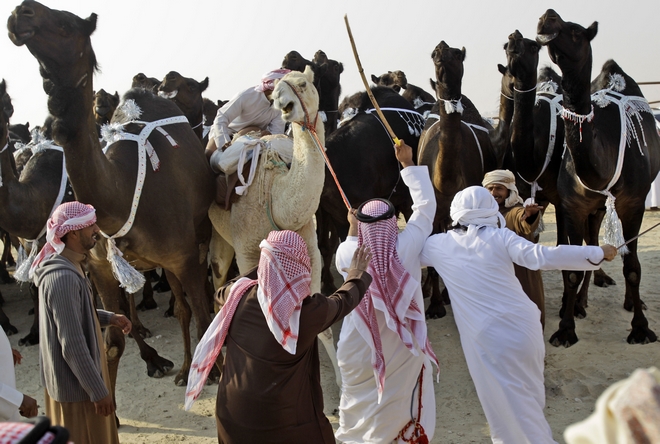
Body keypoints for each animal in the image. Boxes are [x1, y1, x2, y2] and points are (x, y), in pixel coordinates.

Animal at [8, 0, 217, 398]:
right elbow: (111, 342)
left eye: (66, 24)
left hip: (195, 243)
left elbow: (203, 317)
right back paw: (182, 367)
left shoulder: (184, 256)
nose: (20, 13)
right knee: (181, 308)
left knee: (198, 308)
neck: (120, 197)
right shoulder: (102, 269)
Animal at [208, 67, 342, 384]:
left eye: (302, 83)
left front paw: (343, 386)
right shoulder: (246, 252)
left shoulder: (311, 251)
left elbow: (324, 327)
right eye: (276, 88)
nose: (283, 104)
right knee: (216, 279)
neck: (275, 195)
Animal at [418, 41, 506, 318]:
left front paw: (448, 297)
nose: (442, 50)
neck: (445, 181)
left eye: (458, 55)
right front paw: (435, 306)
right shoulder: (434, 211)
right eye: (434, 55)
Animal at [540, 8, 656, 346]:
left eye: (576, 32)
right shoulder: (573, 205)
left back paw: (631, 302)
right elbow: (572, 268)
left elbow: (632, 266)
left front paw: (641, 328)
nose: (548, 15)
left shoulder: (634, 203)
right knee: (592, 246)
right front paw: (565, 328)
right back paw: (580, 303)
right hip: (596, 208)